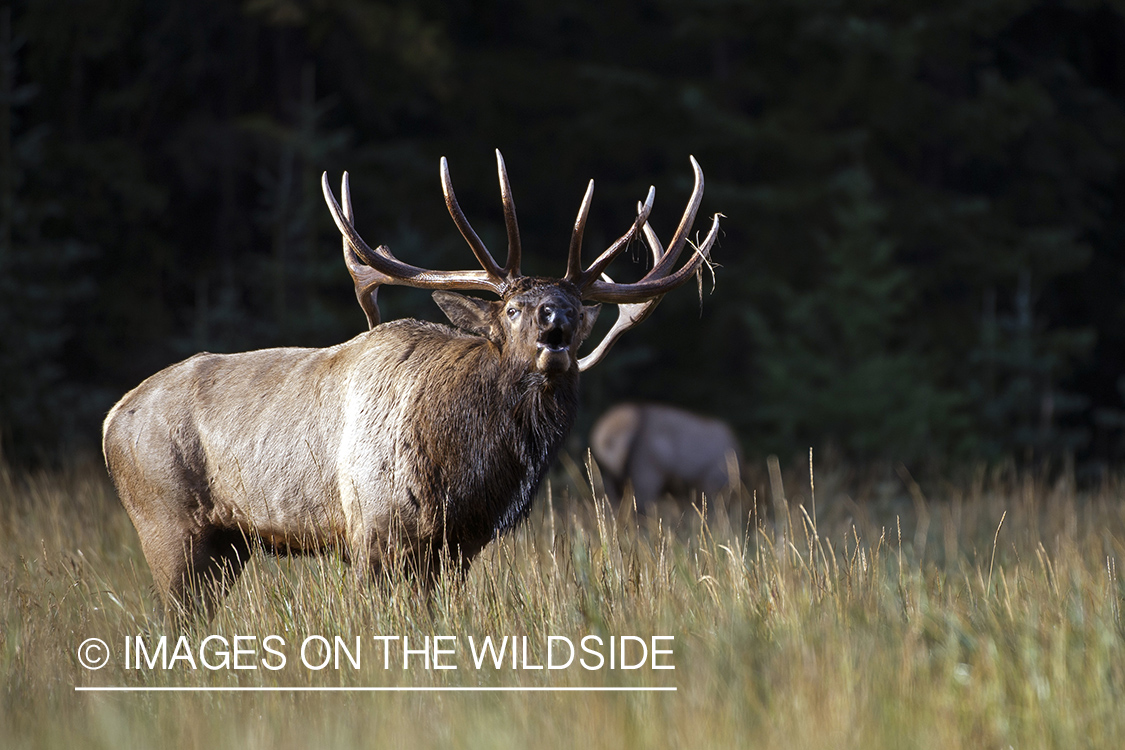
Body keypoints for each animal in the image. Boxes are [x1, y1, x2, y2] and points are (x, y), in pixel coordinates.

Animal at [105, 149, 720, 620]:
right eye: (514, 309)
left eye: (575, 306)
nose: (557, 323)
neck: (462, 471)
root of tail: (112, 419)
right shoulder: (370, 532)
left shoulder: (455, 549)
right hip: (166, 521)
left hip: (228, 543)